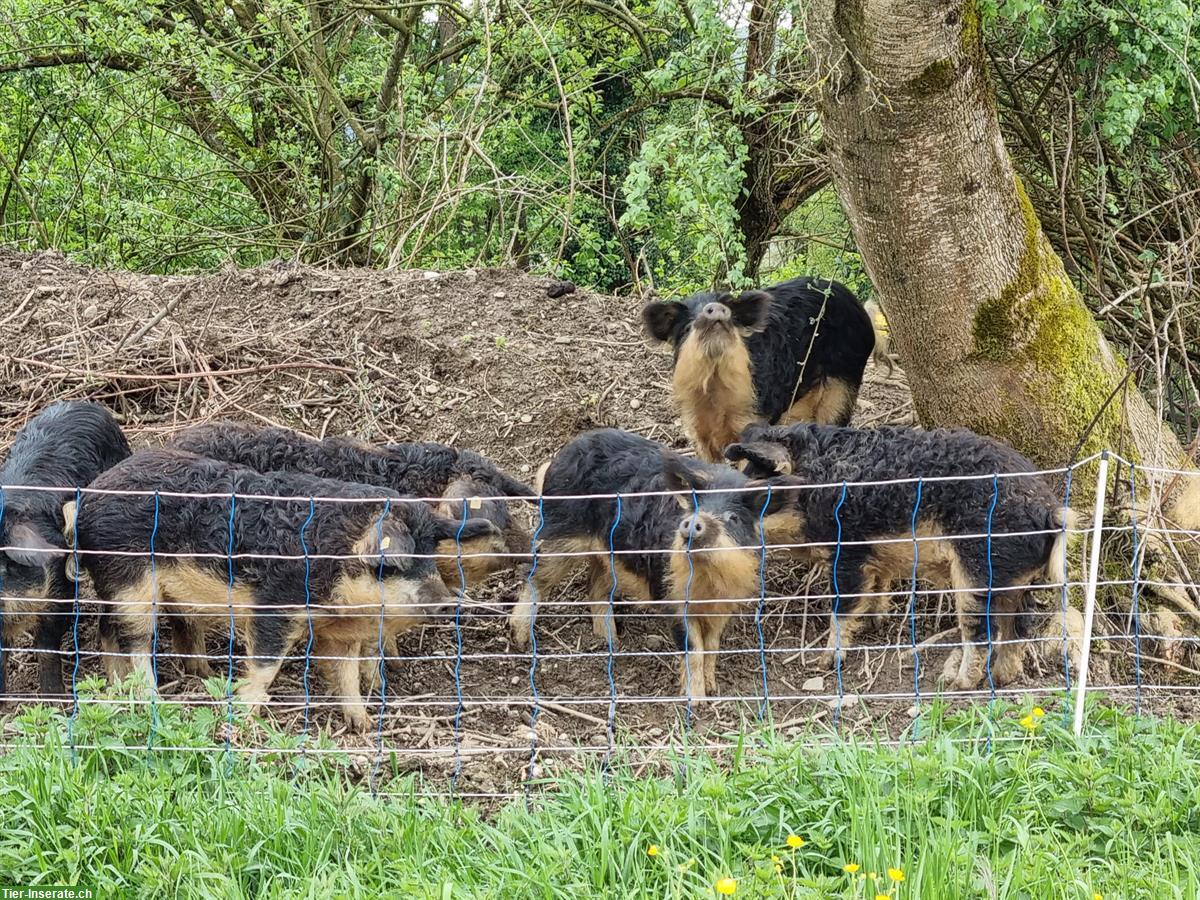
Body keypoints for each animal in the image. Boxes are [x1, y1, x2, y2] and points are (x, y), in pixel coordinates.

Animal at [68, 451, 499, 734]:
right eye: (392, 564)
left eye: (431, 555)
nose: (447, 601)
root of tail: (87, 497)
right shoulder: (274, 606)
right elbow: (266, 665)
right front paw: (243, 716)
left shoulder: (340, 632)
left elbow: (346, 674)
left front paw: (363, 725)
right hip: (130, 581)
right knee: (136, 639)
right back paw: (151, 697)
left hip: (115, 585)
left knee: (108, 632)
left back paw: (120, 687)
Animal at [506, 429, 796, 696]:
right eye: (695, 506)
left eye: (733, 517)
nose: (692, 522)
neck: (709, 578)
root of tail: (560, 457)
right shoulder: (672, 595)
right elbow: (693, 648)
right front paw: (696, 702)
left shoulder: (725, 603)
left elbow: (712, 646)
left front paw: (714, 691)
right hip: (561, 534)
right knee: (535, 577)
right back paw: (521, 639)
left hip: (608, 554)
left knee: (595, 587)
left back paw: (611, 642)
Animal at [638, 277, 883, 460]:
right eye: (687, 327)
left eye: (734, 320)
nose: (714, 308)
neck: (714, 395)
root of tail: (860, 308)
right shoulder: (697, 430)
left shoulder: (752, 417)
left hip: (843, 385)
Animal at [724, 422, 1075, 691]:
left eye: (760, 498)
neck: (815, 488)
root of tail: (1048, 510)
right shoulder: (876, 558)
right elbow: (879, 587)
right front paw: (875, 622)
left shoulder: (847, 549)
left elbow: (842, 606)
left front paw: (823, 663)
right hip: (1018, 579)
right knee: (1019, 627)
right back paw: (1002, 678)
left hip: (977, 567)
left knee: (982, 632)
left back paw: (956, 684)